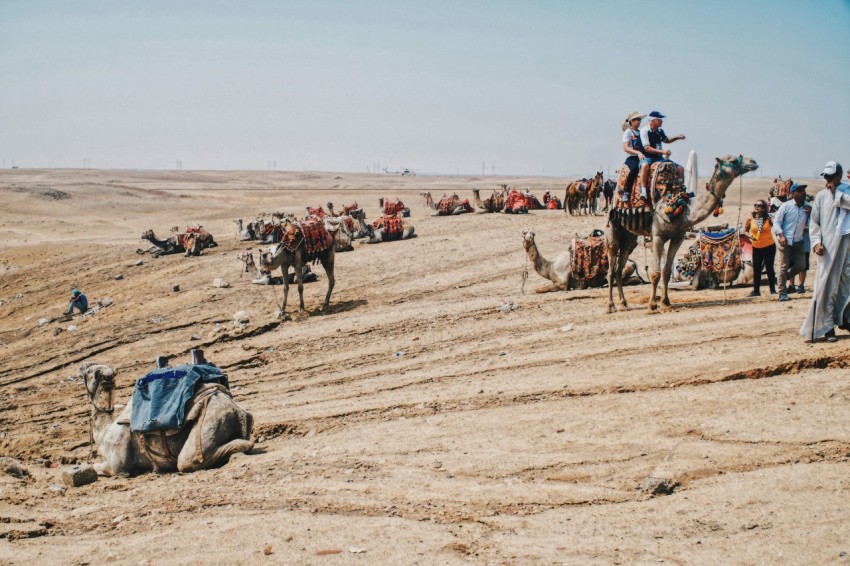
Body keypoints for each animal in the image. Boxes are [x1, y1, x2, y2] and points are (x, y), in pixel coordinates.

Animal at [79, 352, 252, 478]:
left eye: (89, 372)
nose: (80, 367)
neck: (104, 432)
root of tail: (236, 410)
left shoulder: (118, 467)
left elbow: (99, 467)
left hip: (210, 423)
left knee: (187, 460)